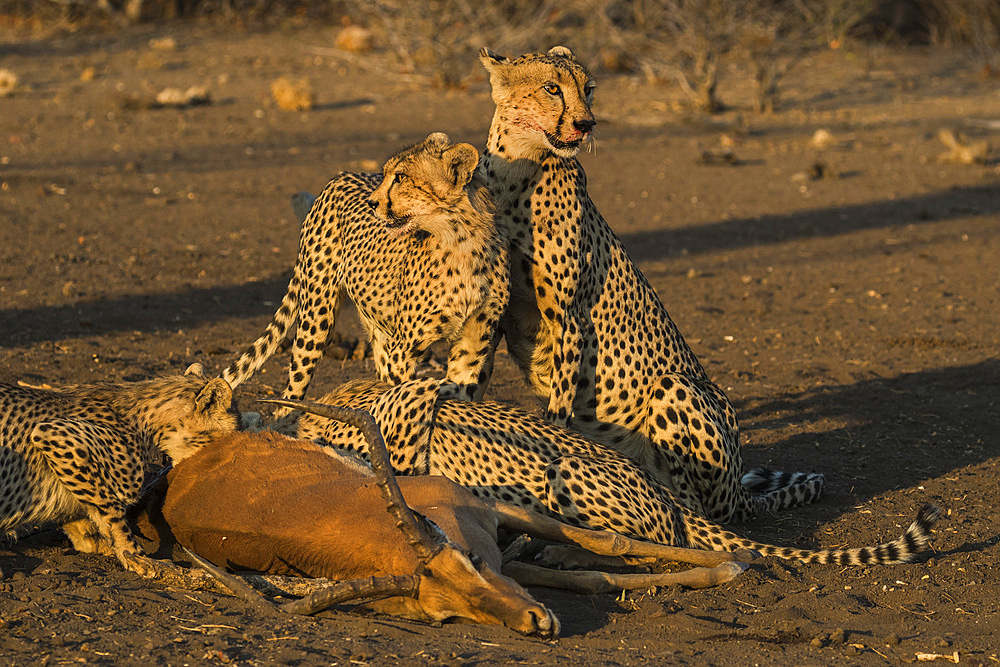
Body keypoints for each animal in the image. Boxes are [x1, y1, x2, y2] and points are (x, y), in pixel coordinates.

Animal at [224, 130, 512, 402]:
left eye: (401, 177)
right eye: (387, 175)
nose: (372, 203)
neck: (463, 243)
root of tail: (343, 175)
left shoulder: (472, 345)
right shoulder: (404, 349)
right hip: (317, 317)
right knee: (294, 385)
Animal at [474, 48, 820, 528]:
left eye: (588, 89)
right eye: (551, 88)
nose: (586, 124)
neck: (516, 171)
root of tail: (739, 492)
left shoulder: (569, 323)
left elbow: (557, 415)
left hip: (677, 389)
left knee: (696, 507)